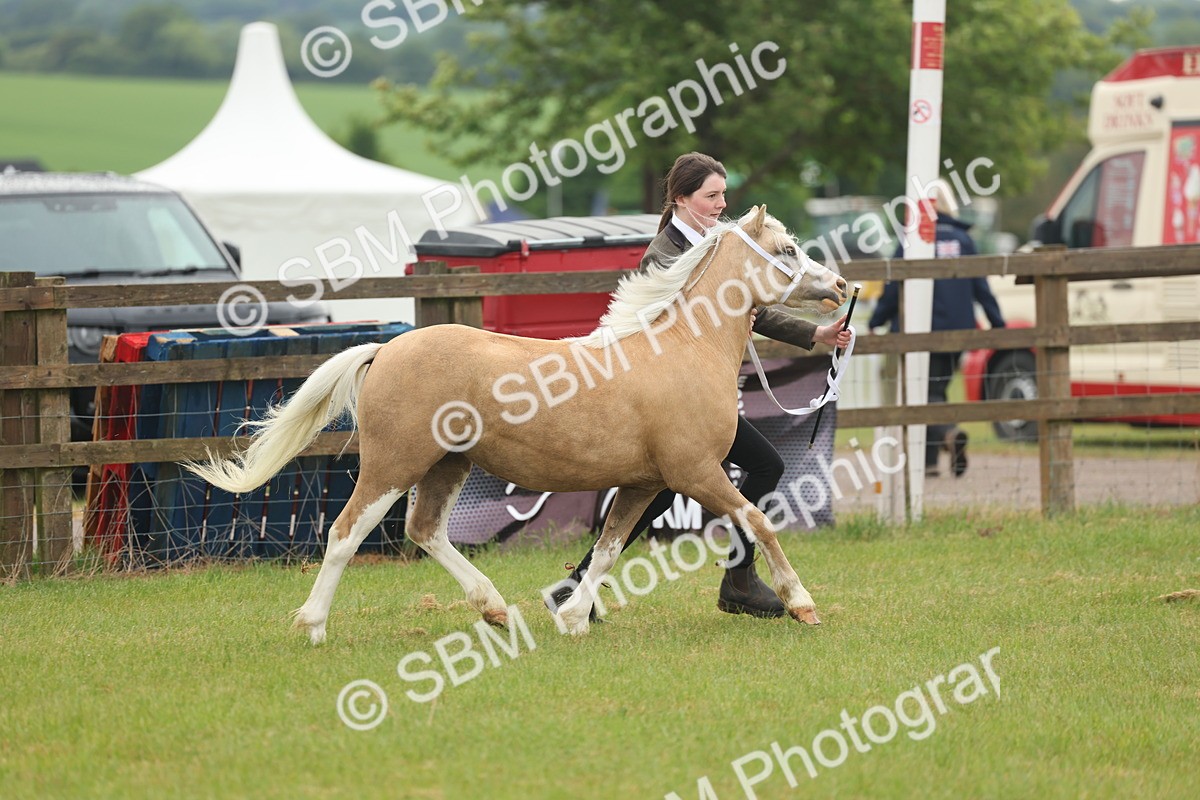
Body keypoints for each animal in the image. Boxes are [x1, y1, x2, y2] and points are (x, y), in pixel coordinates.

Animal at [185, 206, 849, 642]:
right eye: (787, 250)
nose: (841, 285)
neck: (683, 348)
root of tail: (387, 349)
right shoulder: (696, 473)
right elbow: (759, 520)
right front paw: (802, 604)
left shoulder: (645, 482)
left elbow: (608, 549)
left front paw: (573, 617)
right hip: (392, 464)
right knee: (346, 534)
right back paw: (315, 627)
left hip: (447, 464)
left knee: (426, 532)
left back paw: (497, 610)